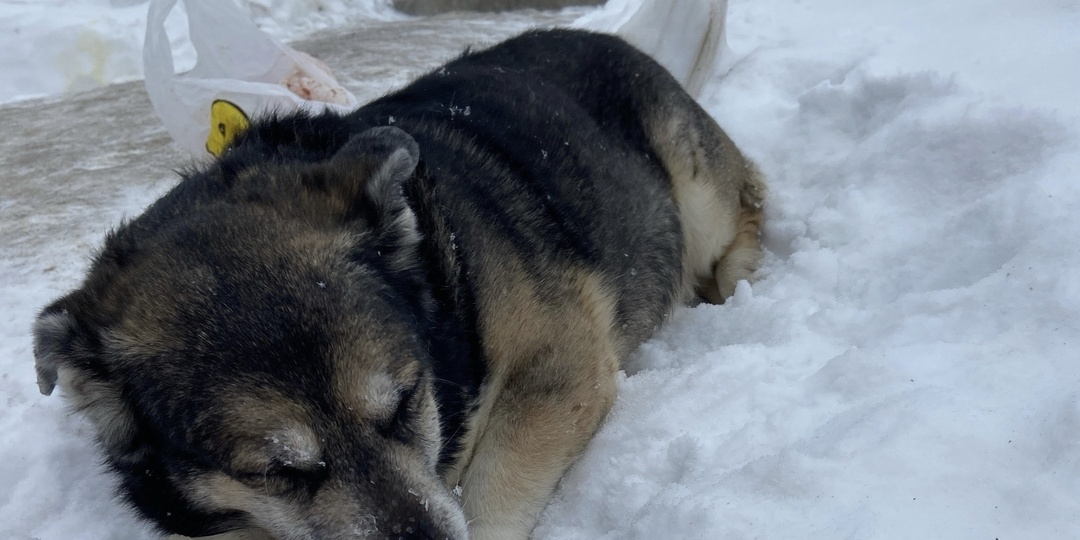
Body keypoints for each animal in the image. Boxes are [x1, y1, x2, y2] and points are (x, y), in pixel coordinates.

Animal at [31, 29, 760, 540]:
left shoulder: (559, 367)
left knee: (747, 215)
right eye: (277, 473)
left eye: (406, 403)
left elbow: (495, 485)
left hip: (697, 191)